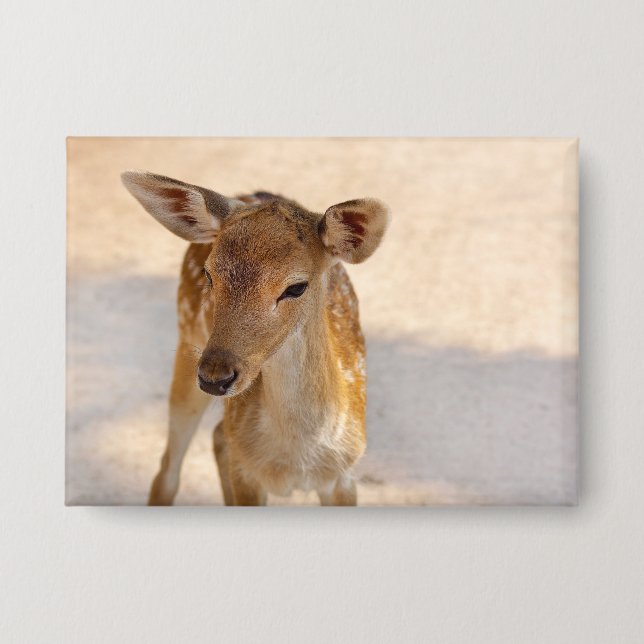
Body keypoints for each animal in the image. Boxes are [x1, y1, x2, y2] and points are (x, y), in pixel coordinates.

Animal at [121, 171, 390, 506]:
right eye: (209, 275)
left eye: (296, 287)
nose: (214, 377)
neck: (296, 460)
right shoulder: (247, 474)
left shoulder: (345, 475)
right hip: (186, 341)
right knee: (168, 471)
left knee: (218, 436)